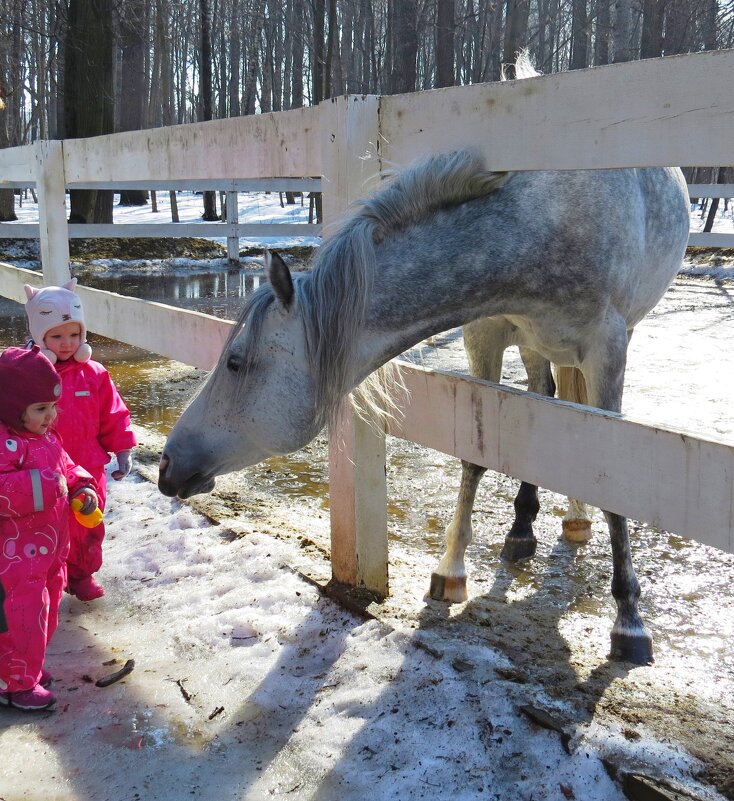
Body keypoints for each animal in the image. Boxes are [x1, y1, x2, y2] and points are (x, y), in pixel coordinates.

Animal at [158, 148, 692, 664]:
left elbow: (612, 475)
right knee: (548, 400)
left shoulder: (609, 347)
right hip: (535, 347)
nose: (167, 464)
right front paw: (452, 570)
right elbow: (477, 454)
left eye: (235, 362)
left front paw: (629, 619)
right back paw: (526, 527)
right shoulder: (486, 331)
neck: (539, 228)